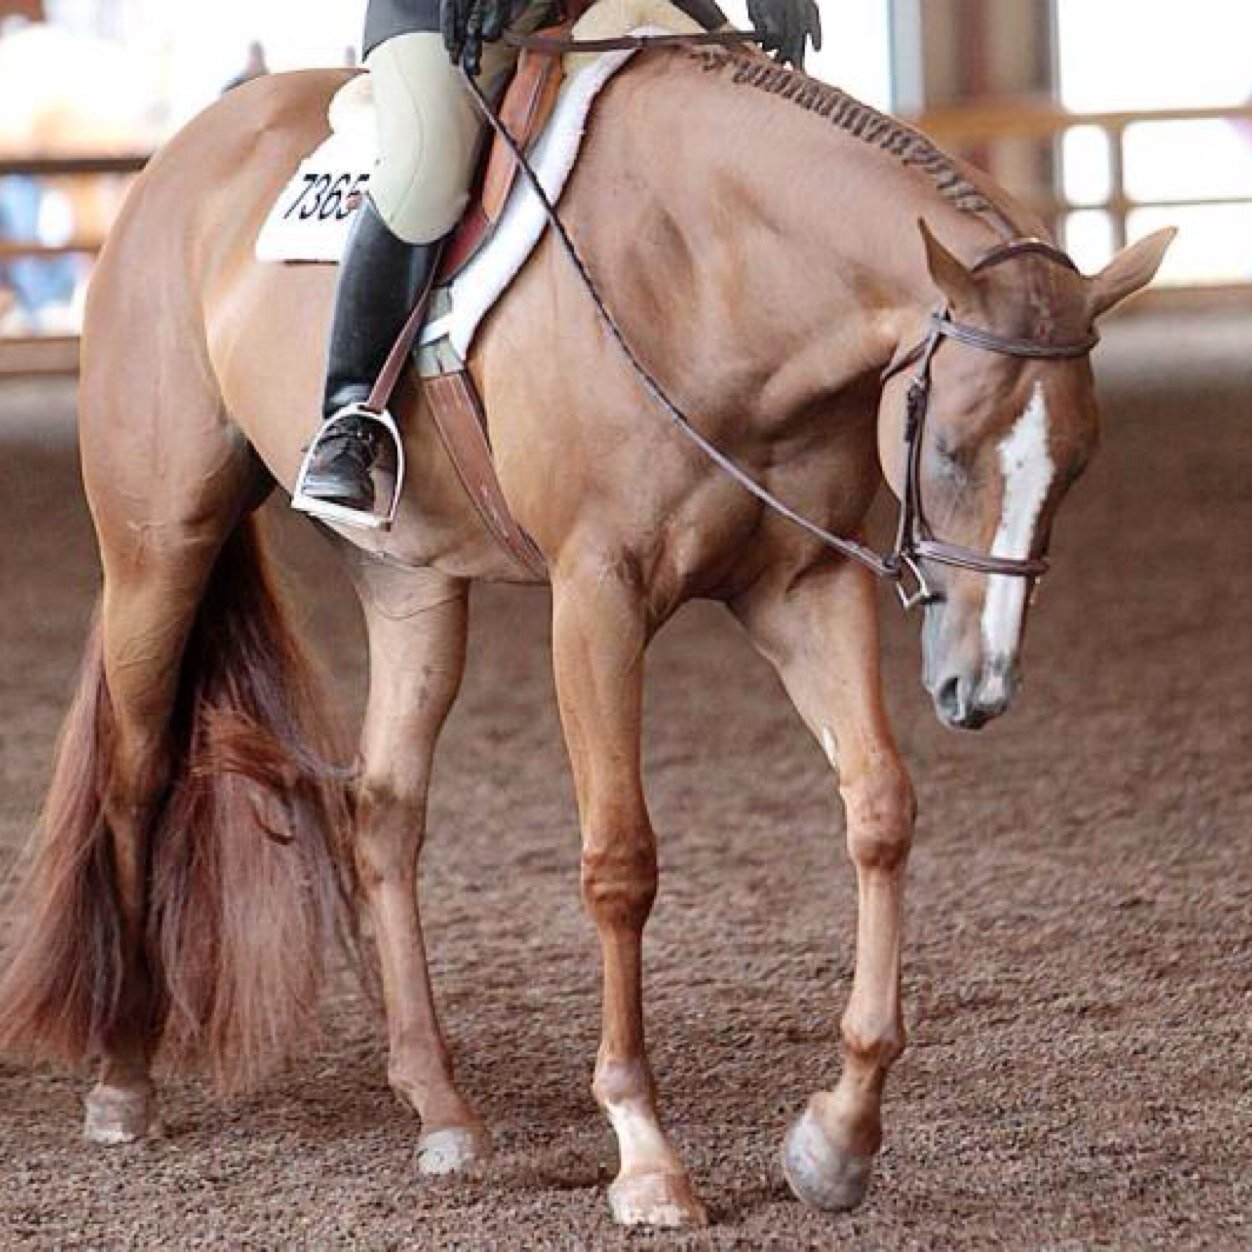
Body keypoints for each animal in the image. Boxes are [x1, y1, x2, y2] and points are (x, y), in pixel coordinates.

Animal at [0, 39, 1172, 1230]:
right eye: (950, 450)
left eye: (1076, 465)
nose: (980, 687)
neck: (711, 273)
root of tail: (181, 156)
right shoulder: (596, 595)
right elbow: (621, 862)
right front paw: (646, 1155)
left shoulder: (802, 587)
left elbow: (880, 810)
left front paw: (836, 1140)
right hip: (159, 547)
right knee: (136, 777)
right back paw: (123, 1078)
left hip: (407, 578)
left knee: (383, 809)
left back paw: (441, 1109)